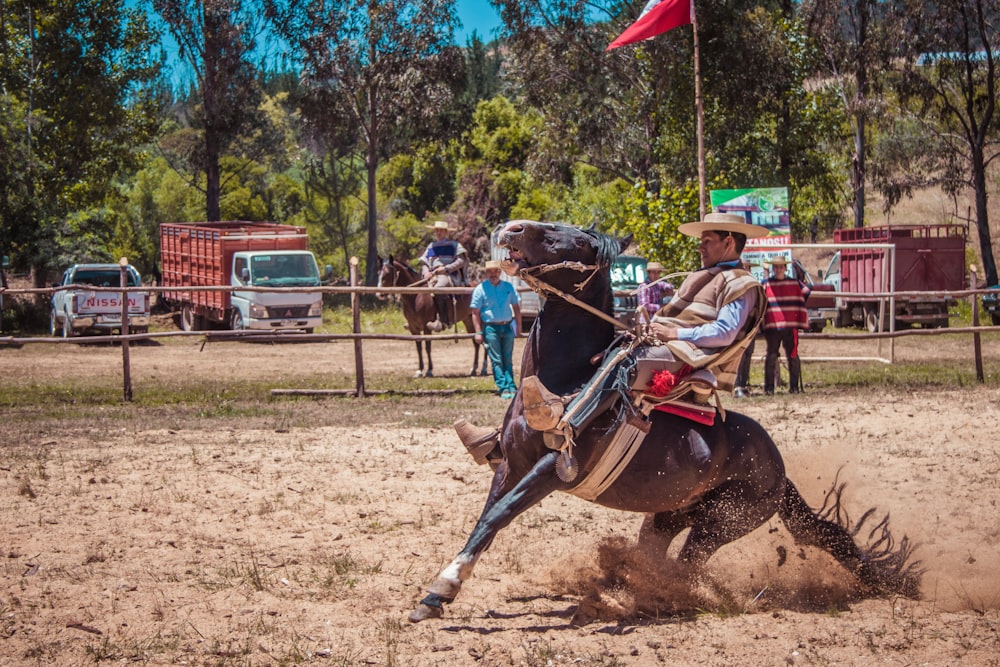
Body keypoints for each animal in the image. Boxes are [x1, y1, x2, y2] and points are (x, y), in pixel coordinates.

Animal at [408, 222, 920, 624]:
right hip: (668, 515)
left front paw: (442, 586)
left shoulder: (554, 469)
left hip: (722, 523)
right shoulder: (512, 464)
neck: (567, 379)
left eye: (572, 239)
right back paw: (627, 589)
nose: (511, 228)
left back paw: (654, 599)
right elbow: (487, 517)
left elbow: (500, 515)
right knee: (658, 554)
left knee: (687, 566)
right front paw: (440, 592)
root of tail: (779, 472)